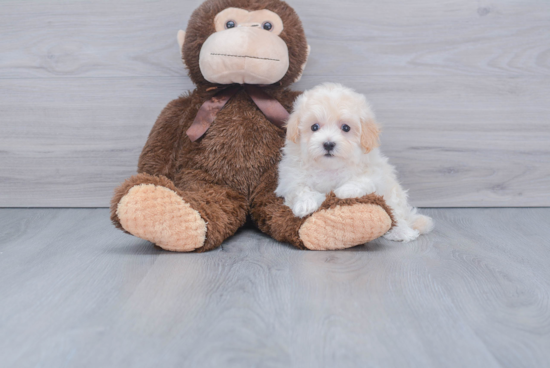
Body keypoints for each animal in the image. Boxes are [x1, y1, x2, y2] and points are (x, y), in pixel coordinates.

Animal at [278, 83, 438, 242]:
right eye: (314, 127)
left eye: (346, 128)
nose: (328, 144)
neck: (329, 167)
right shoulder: (290, 176)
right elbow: (300, 188)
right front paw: (306, 204)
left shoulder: (375, 171)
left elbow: (363, 180)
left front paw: (344, 191)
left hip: (393, 196)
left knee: (396, 213)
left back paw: (402, 231)